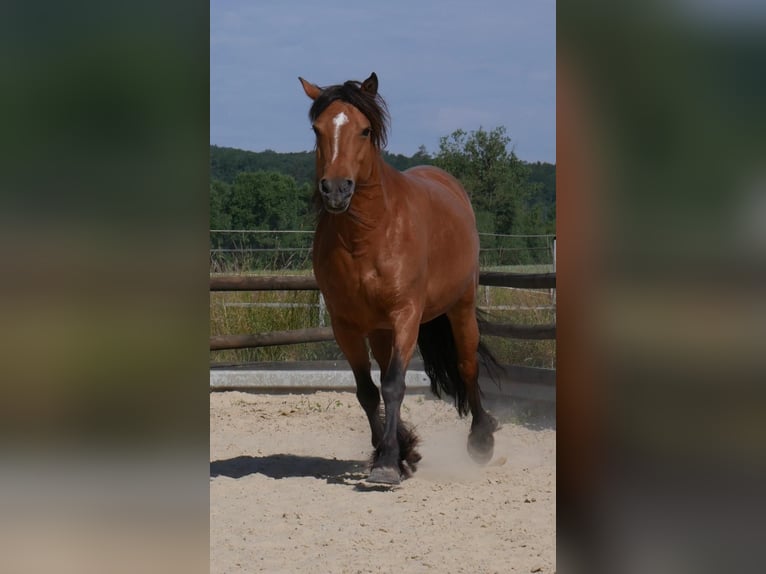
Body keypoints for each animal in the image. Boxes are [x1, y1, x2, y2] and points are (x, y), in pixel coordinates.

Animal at [298, 72, 499, 484]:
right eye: (316, 129)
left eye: (363, 130)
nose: (336, 189)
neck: (366, 236)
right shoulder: (346, 325)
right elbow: (367, 391)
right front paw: (398, 452)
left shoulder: (406, 314)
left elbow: (393, 384)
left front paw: (389, 462)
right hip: (379, 330)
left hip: (461, 307)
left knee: (466, 366)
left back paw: (480, 441)